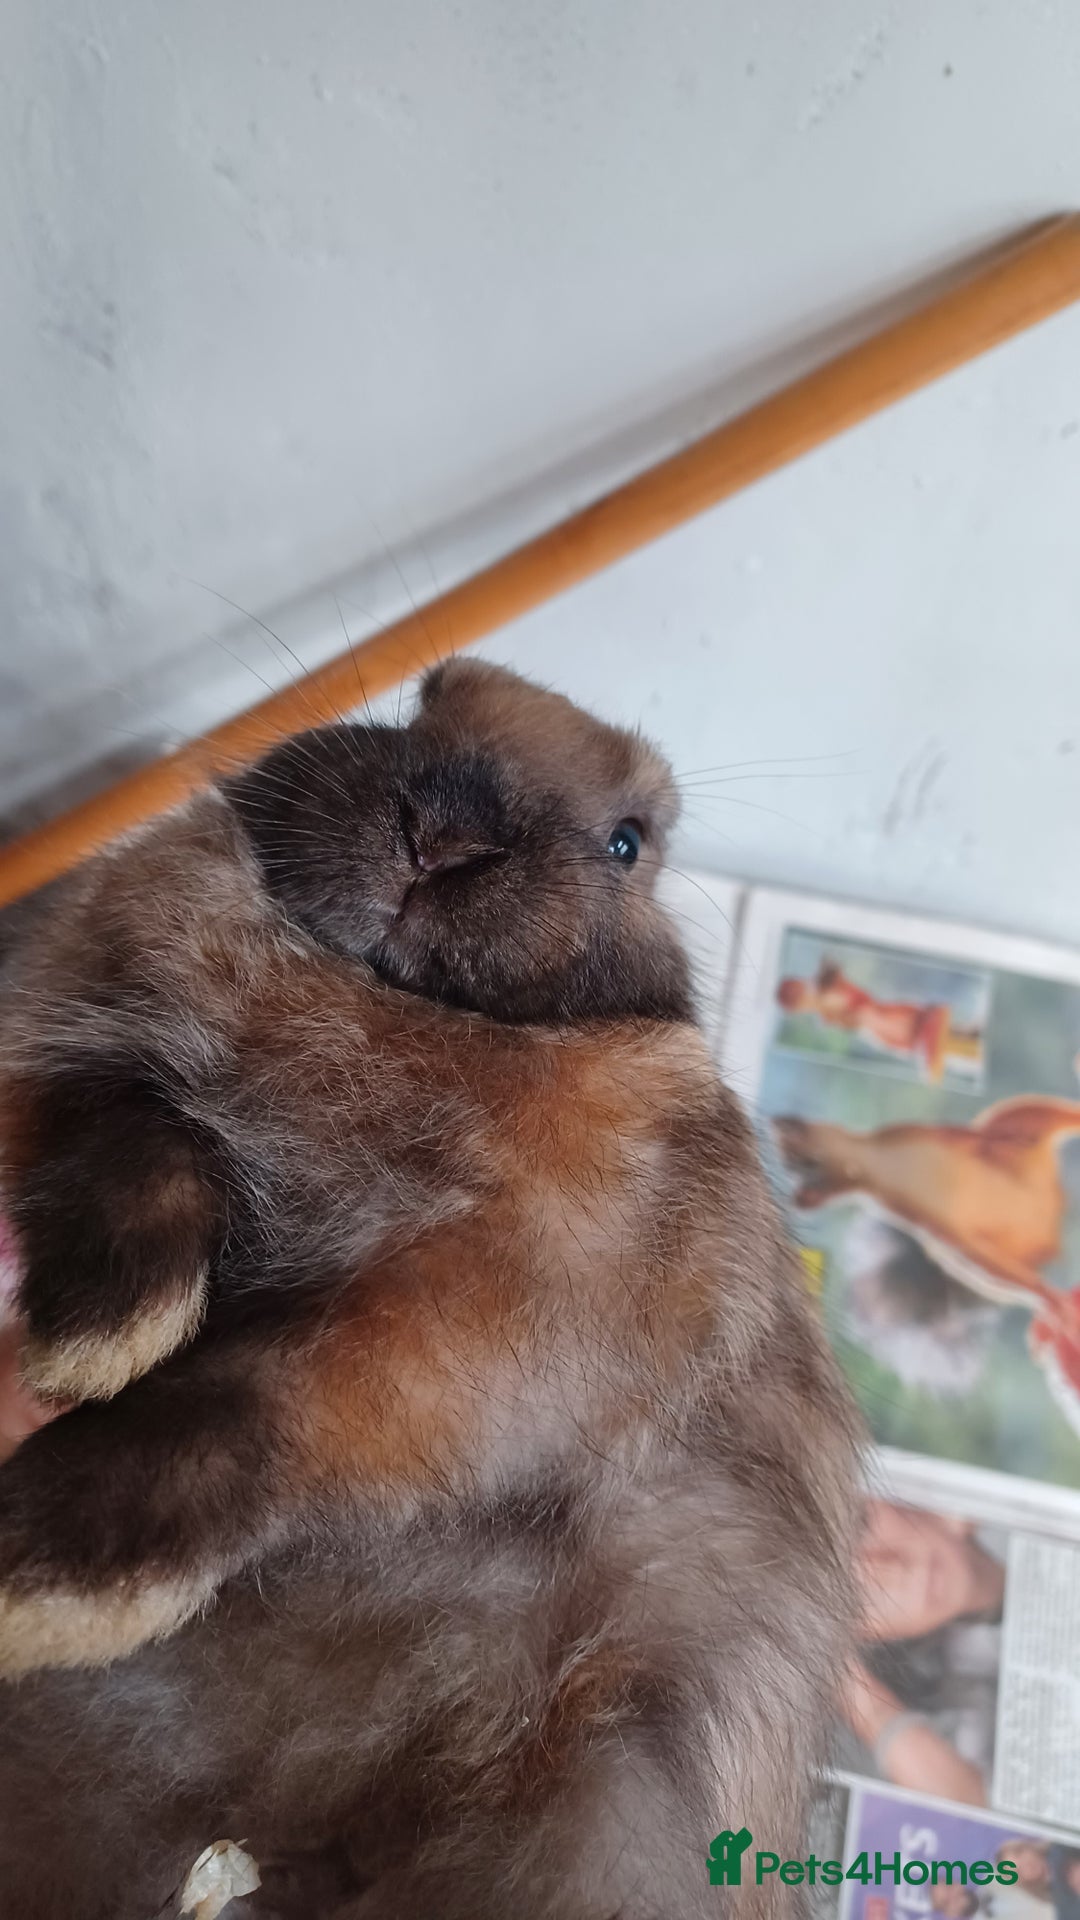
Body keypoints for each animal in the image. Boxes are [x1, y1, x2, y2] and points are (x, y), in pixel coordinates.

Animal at [0, 658, 859, 1919]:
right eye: (426, 700)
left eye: (628, 842)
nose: (445, 838)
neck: (393, 1004)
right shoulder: (75, 1051)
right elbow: (136, 1150)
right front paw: (98, 1332)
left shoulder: (474, 1319)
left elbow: (257, 1391)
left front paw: (35, 1578)